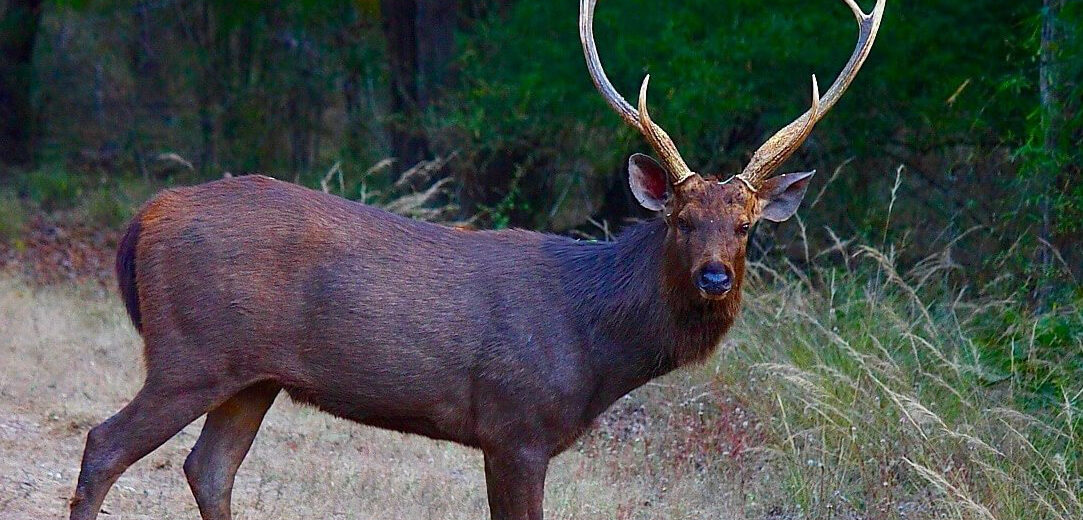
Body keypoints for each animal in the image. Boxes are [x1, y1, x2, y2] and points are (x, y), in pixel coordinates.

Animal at [67, 2, 883, 517]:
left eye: (744, 228)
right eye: (682, 221)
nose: (714, 277)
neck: (595, 345)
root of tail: (146, 217)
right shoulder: (515, 425)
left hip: (251, 375)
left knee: (207, 470)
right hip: (191, 351)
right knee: (105, 445)